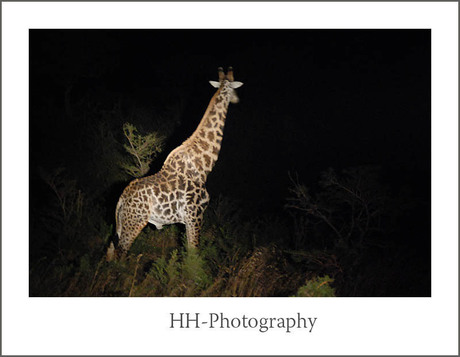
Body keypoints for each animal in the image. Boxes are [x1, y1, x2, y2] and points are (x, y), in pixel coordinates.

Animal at [107, 67, 244, 258]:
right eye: (235, 89)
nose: (237, 99)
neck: (204, 166)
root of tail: (121, 199)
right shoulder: (195, 215)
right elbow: (194, 255)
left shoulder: (188, 220)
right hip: (134, 223)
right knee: (120, 255)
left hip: (123, 224)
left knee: (110, 251)